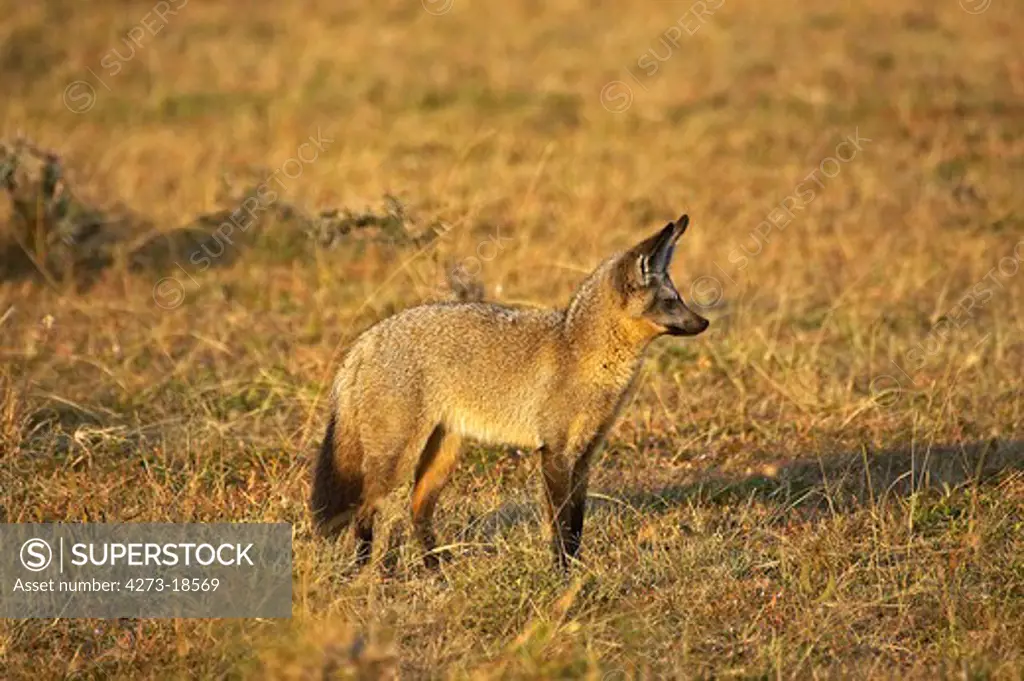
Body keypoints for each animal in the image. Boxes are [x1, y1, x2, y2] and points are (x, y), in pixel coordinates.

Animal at [311, 214, 708, 569]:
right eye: (671, 301)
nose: (704, 323)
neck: (578, 349)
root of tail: (365, 340)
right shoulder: (555, 453)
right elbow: (561, 527)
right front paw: (562, 575)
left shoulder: (584, 457)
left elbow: (576, 527)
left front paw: (575, 572)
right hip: (395, 462)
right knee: (365, 511)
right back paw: (364, 570)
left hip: (441, 458)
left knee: (416, 511)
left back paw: (437, 569)